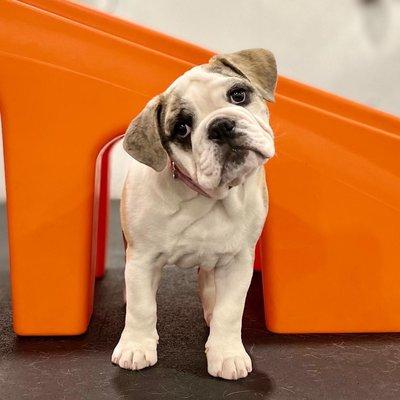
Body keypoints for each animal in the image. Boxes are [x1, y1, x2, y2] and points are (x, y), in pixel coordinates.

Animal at [111, 48, 276, 380]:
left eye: (238, 95)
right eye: (182, 129)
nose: (221, 125)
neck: (207, 197)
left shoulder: (238, 262)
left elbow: (230, 311)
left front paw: (227, 353)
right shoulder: (142, 260)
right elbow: (142, 306)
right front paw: (135, 346)